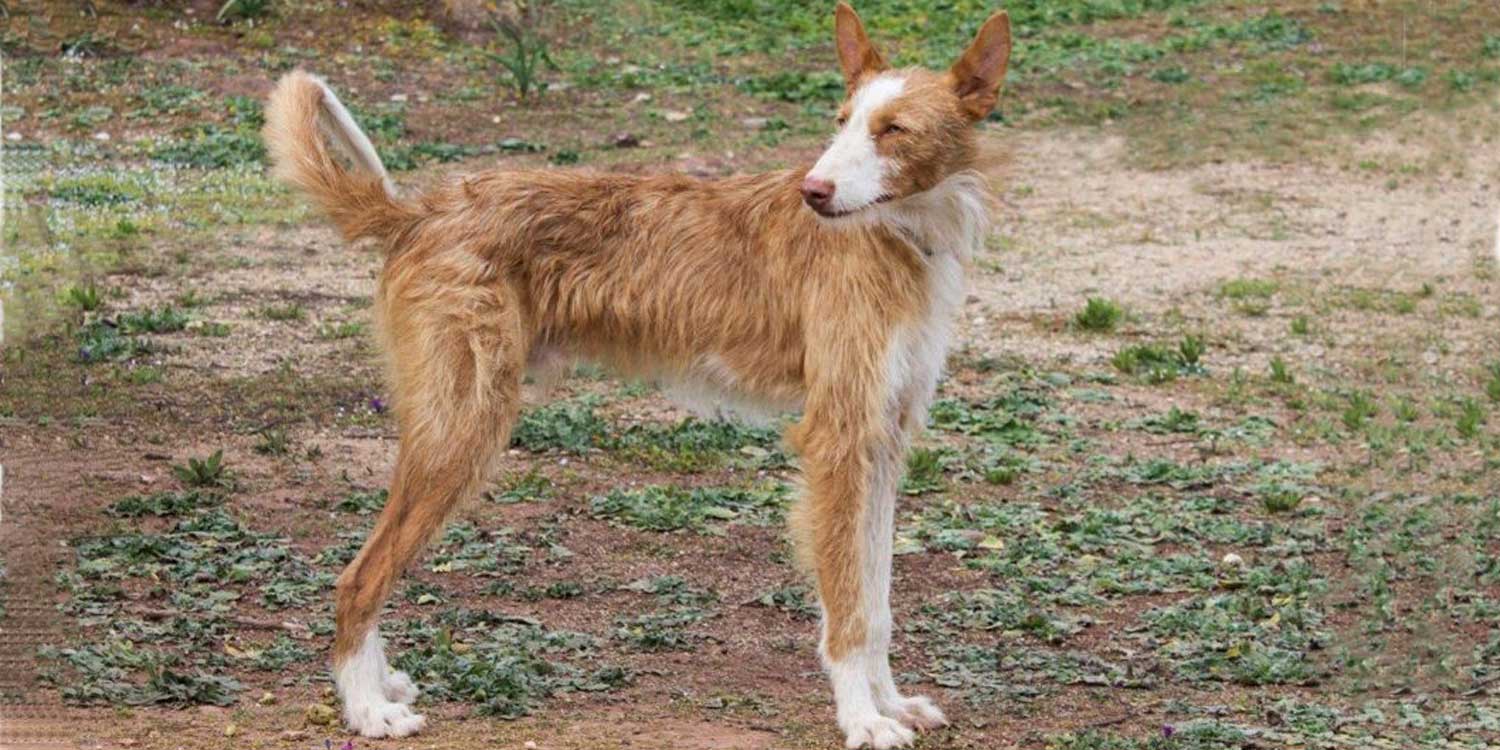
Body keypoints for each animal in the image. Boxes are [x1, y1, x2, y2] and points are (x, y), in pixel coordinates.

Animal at [264, 4, 1014, 744]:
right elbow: (848, 605)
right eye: (842, 121)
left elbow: (877, 599)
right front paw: (861, 718)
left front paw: (892, 702)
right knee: (358, 577)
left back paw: (377, 684)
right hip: (461, 432)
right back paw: (366, 708)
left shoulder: (884, 441)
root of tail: (420, 213)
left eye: (893, 130)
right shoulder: (837, 439)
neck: (899, 235)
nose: (814, 191)